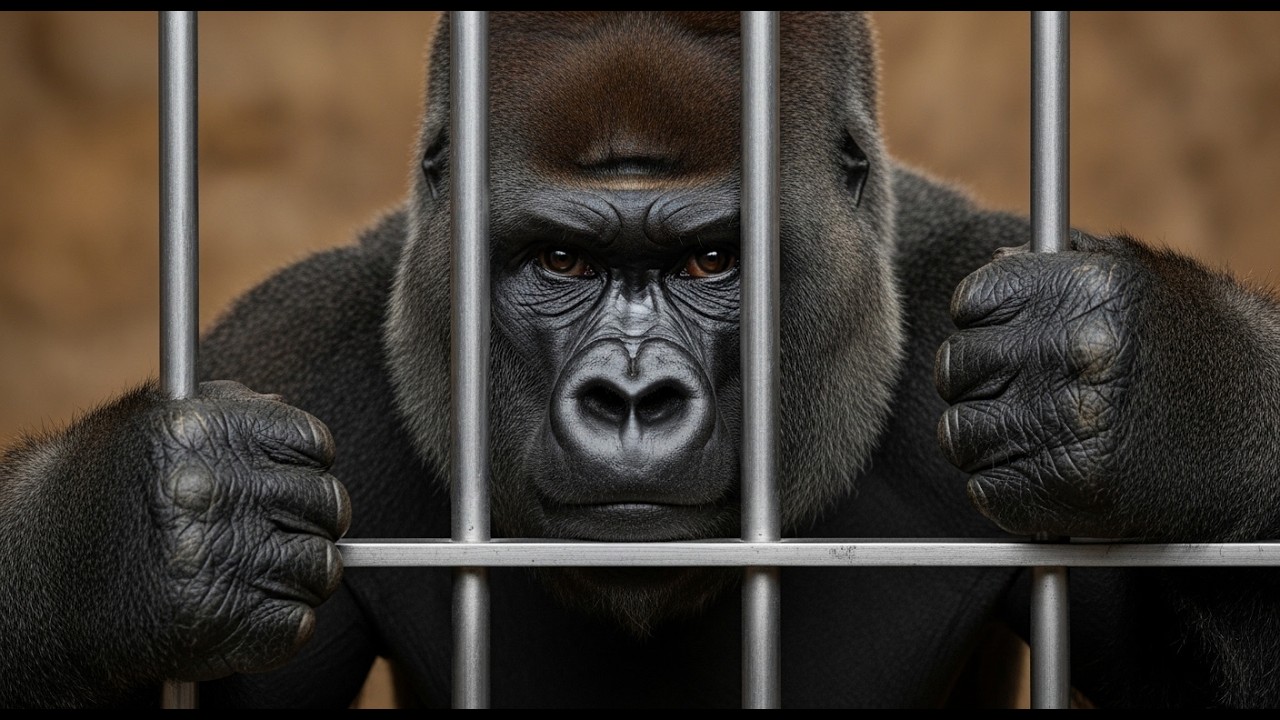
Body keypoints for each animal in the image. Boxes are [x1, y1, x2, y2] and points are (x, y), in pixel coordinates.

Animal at [4, 11, 1280, 708]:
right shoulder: (293, 351)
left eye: (712, 260)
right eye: (560, 260)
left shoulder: (957, 295)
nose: (630, 398)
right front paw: (131, 534)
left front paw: (1170, 397)